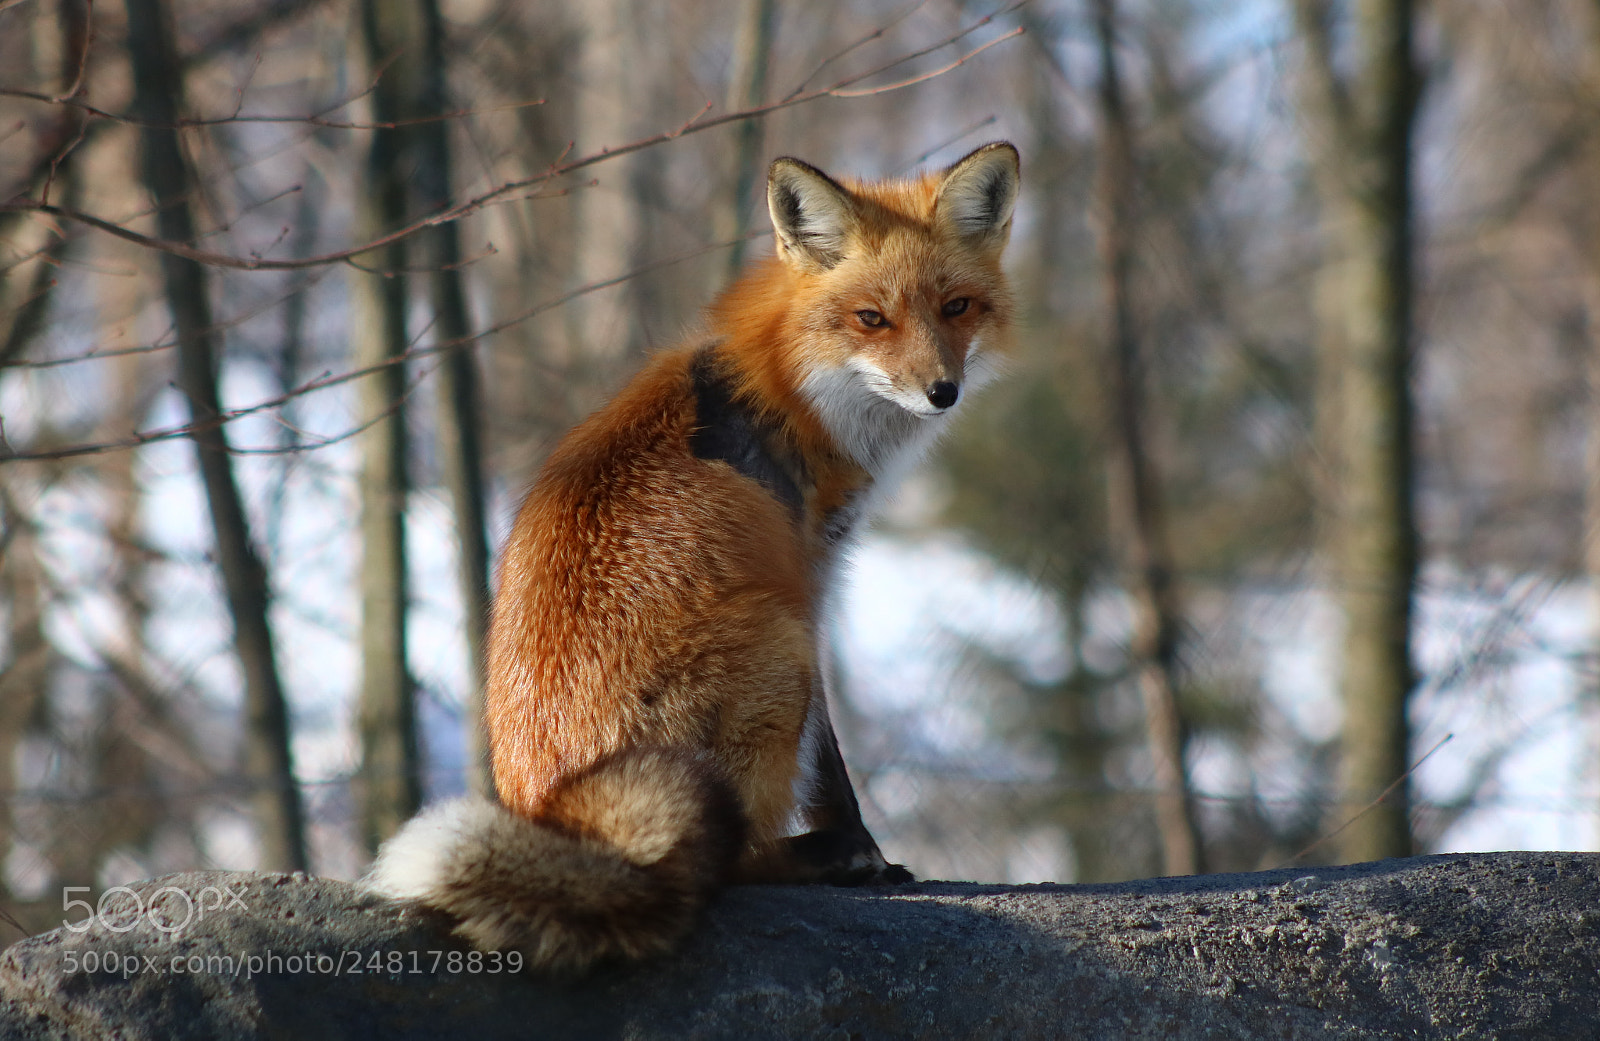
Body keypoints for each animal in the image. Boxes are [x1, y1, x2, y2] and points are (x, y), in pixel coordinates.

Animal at [365, 141, 1021, 974]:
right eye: (871, 318)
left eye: (957, 307)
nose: (942, 391)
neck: (789, 388)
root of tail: (566, 813)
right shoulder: (808, 586)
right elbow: (831, 767)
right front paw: (867, 851)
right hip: (779, 648)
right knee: (732, 859)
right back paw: (815, 858)